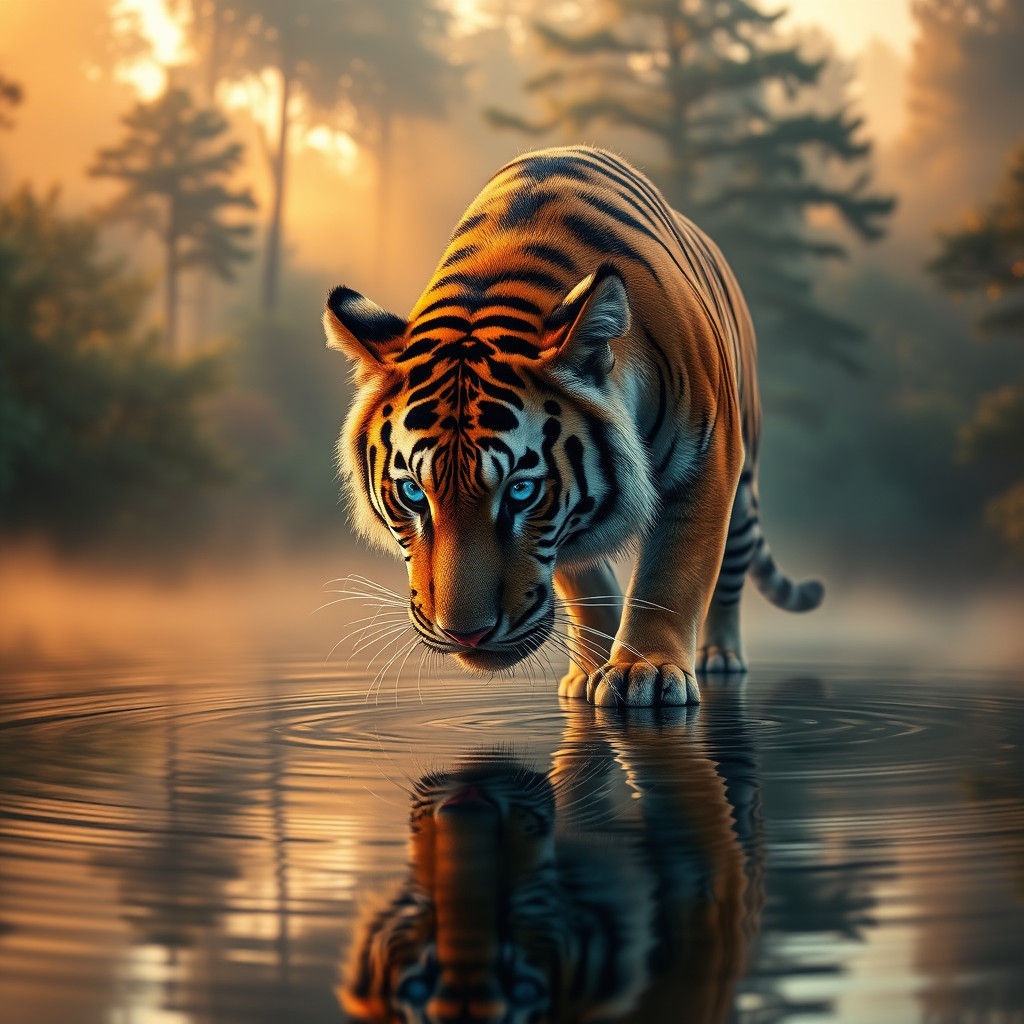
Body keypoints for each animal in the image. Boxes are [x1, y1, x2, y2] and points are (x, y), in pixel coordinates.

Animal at [323, 145, 823, 706]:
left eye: (520, 491)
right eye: (412, 492)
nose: (465, 635)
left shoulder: (707, 459)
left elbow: (673, 572)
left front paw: (646, 672)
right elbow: (584, 582)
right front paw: (592, 669)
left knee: (731, 567)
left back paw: (719, 656)